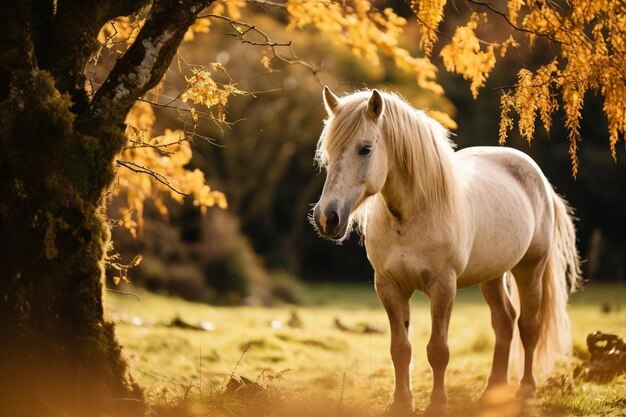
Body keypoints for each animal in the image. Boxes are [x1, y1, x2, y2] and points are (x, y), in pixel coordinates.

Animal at [312, 87, 580, 412]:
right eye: (328, 151)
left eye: (365, 149)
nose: (327, 217)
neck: (410, 217)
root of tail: (538, 175)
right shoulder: (389, 286)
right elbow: (400, 349)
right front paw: (401, 403)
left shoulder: (443, 287)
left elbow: (438, 350)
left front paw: (437, 404)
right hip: (493, 274)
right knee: (504, 322)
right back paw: (493, 390)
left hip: (530, 268)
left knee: (529, 326)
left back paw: (526, 390)